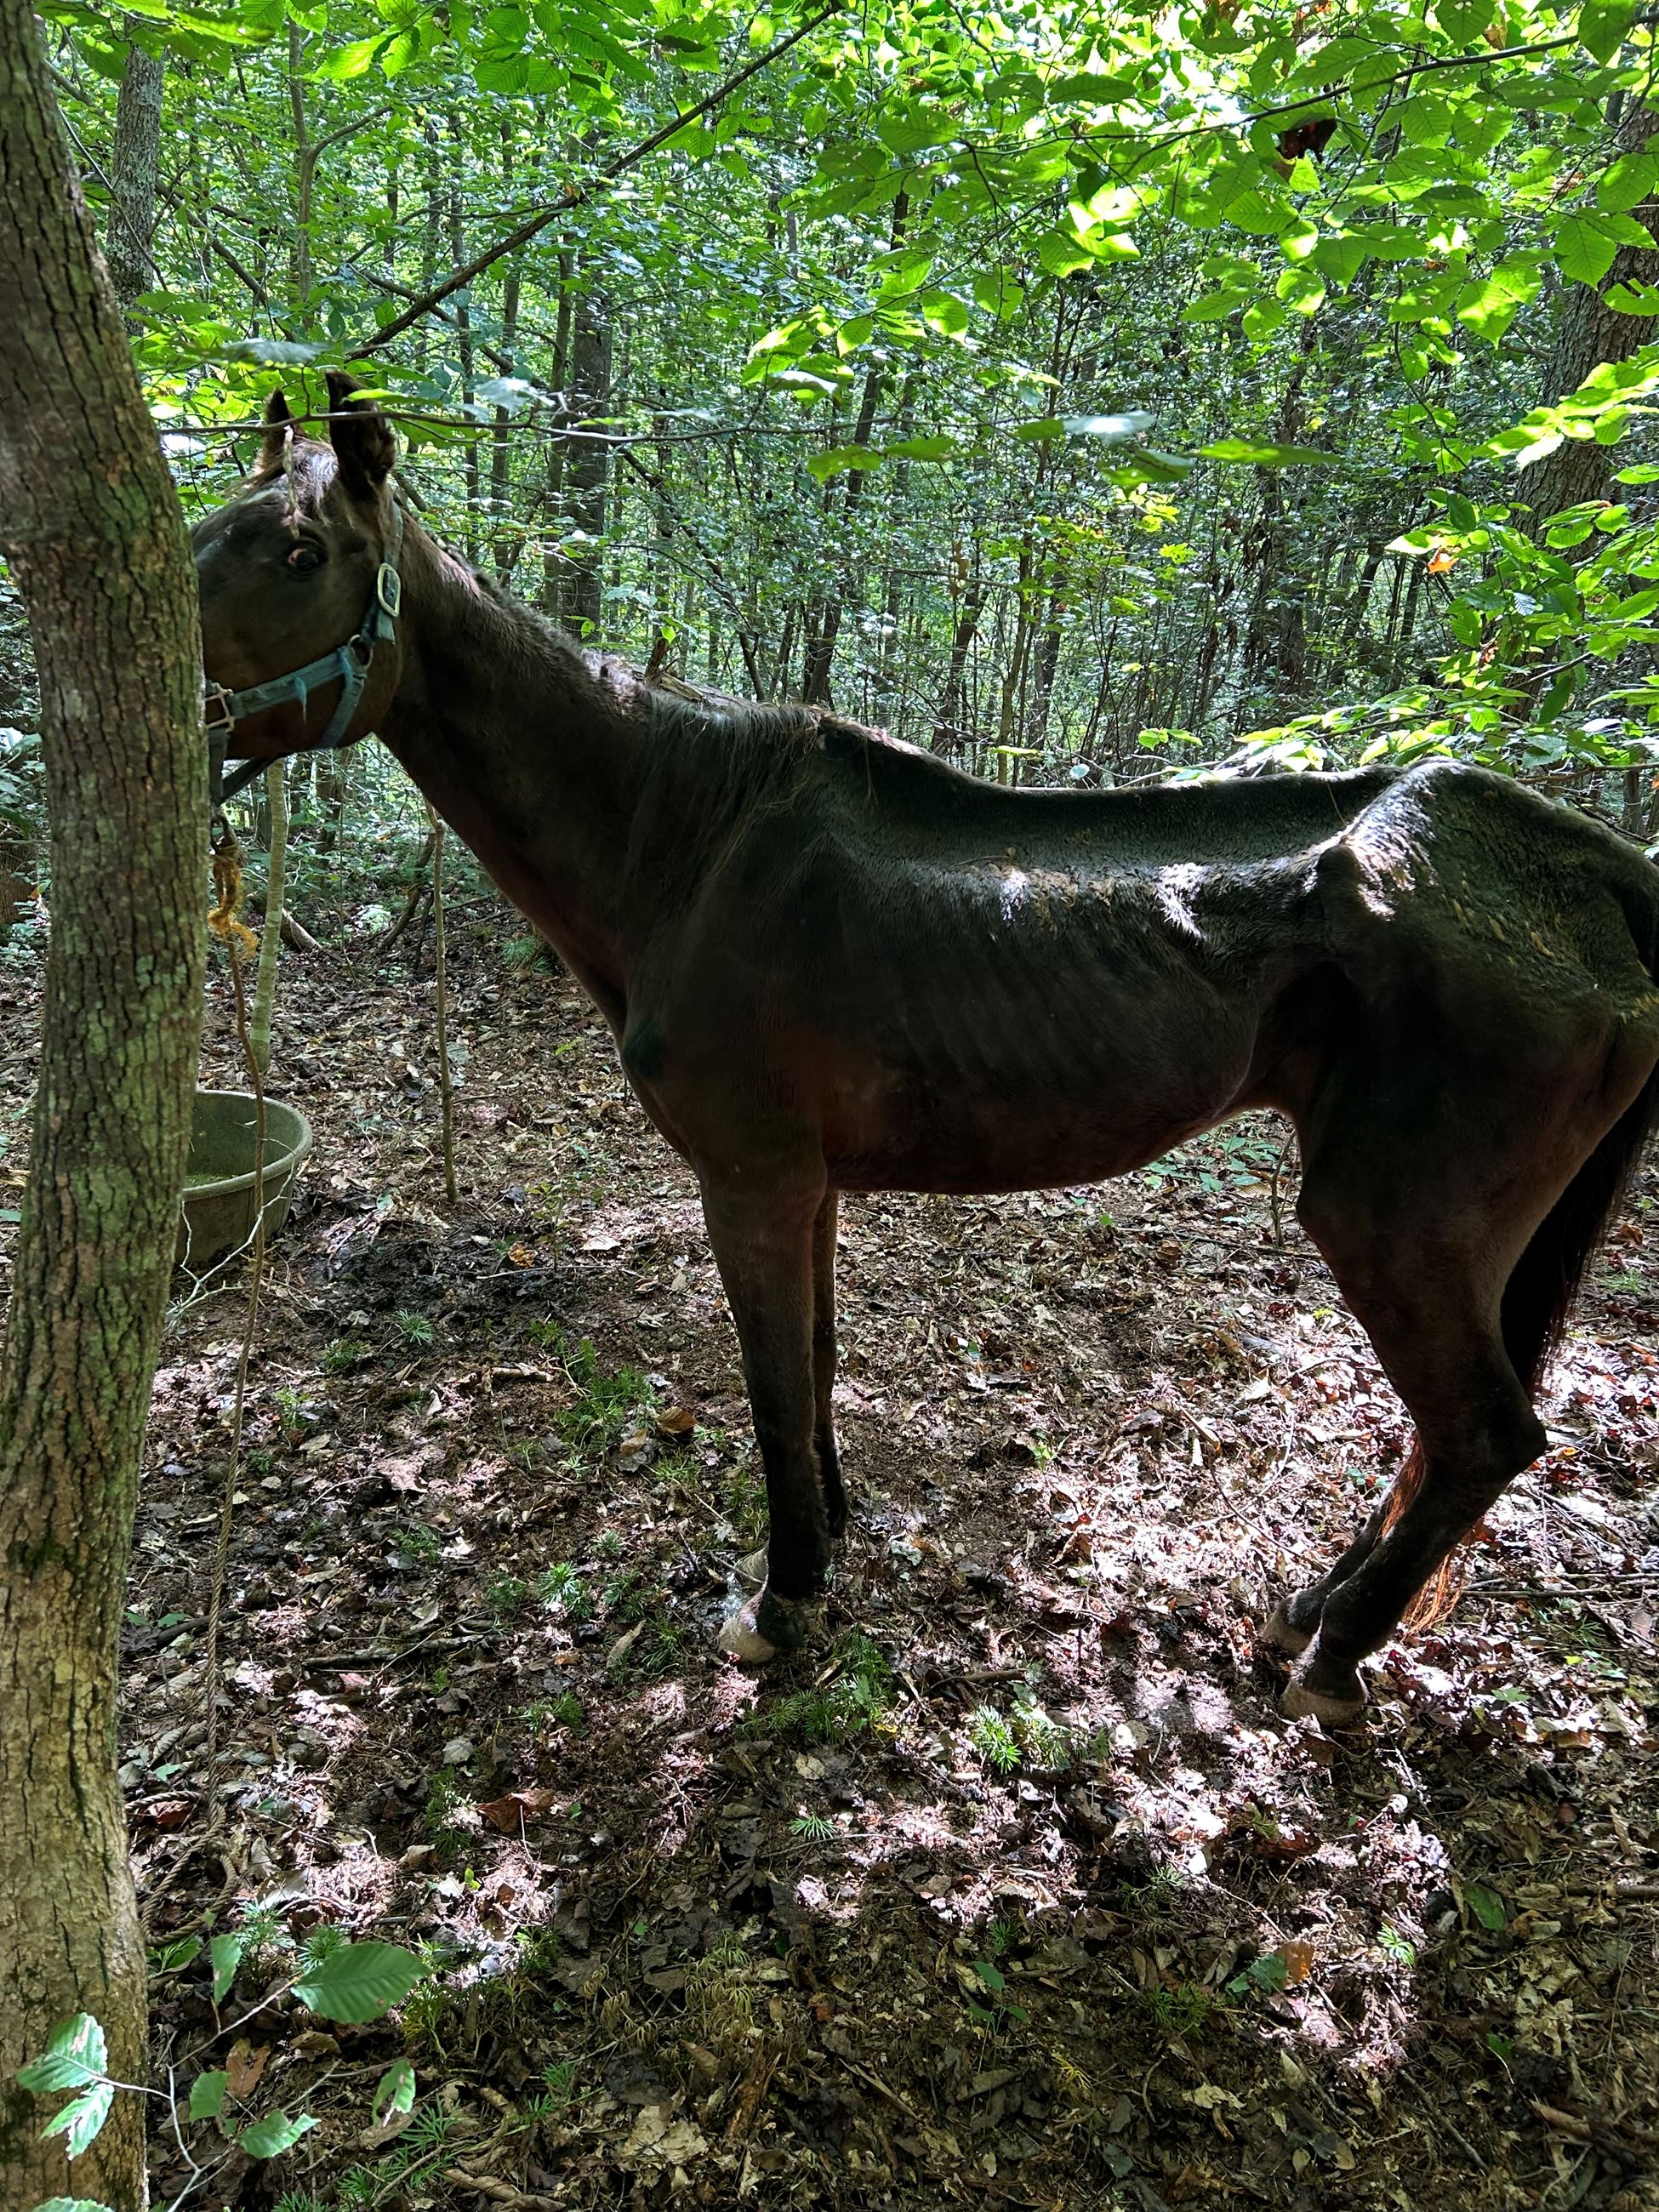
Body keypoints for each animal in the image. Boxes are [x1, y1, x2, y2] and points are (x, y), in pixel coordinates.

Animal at [192, 375, 1659, 1726]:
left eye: (301, 552)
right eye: (209, 526)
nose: (168, 704)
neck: (682, 843)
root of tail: (1590, 873)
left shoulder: (752, 1175)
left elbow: (771, 1386)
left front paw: (781, 1601)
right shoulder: (808, 1183)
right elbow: (815, 1367)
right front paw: (830, 1543)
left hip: (1391, 1222)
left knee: (1480, 1434)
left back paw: (1334, 1657)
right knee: (1443, 1438)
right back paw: (1315, 1606)